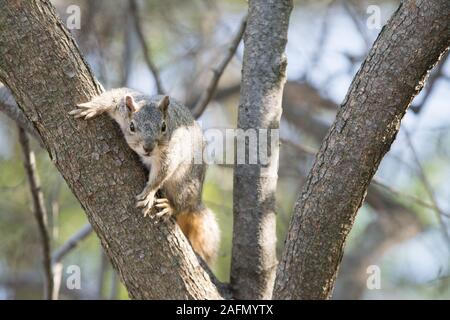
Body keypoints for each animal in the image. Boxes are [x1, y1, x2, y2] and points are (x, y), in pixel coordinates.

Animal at [68, 89, 220, 264]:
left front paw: (149, 193)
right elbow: (113, 96)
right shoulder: (122, 103)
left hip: (184, 183)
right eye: (132, 126)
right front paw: (94, 106)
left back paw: (170, 206)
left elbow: (162, 173)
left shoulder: (170, 152)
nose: (148, 147)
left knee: (182, 203)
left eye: (163, 126)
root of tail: (197, 199)